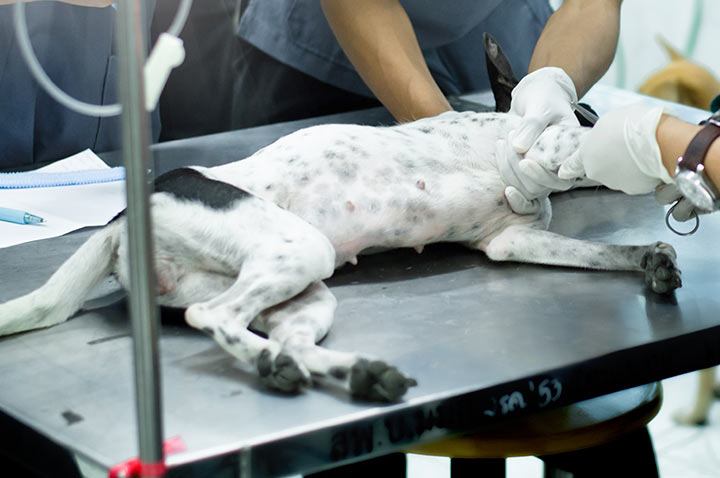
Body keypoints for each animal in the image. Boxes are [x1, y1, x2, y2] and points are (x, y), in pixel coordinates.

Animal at [0, 38, 680, 404]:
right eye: (588, 114)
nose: (597, 123)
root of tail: (123, 218)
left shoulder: (512, 241)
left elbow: (601, 254)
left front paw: (649, 258)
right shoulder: (531, 158)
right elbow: (552, 138)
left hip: (301, 288)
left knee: (279, 336)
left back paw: (337, 371)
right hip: (296, 251)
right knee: (211, 317)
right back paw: (296, 368)